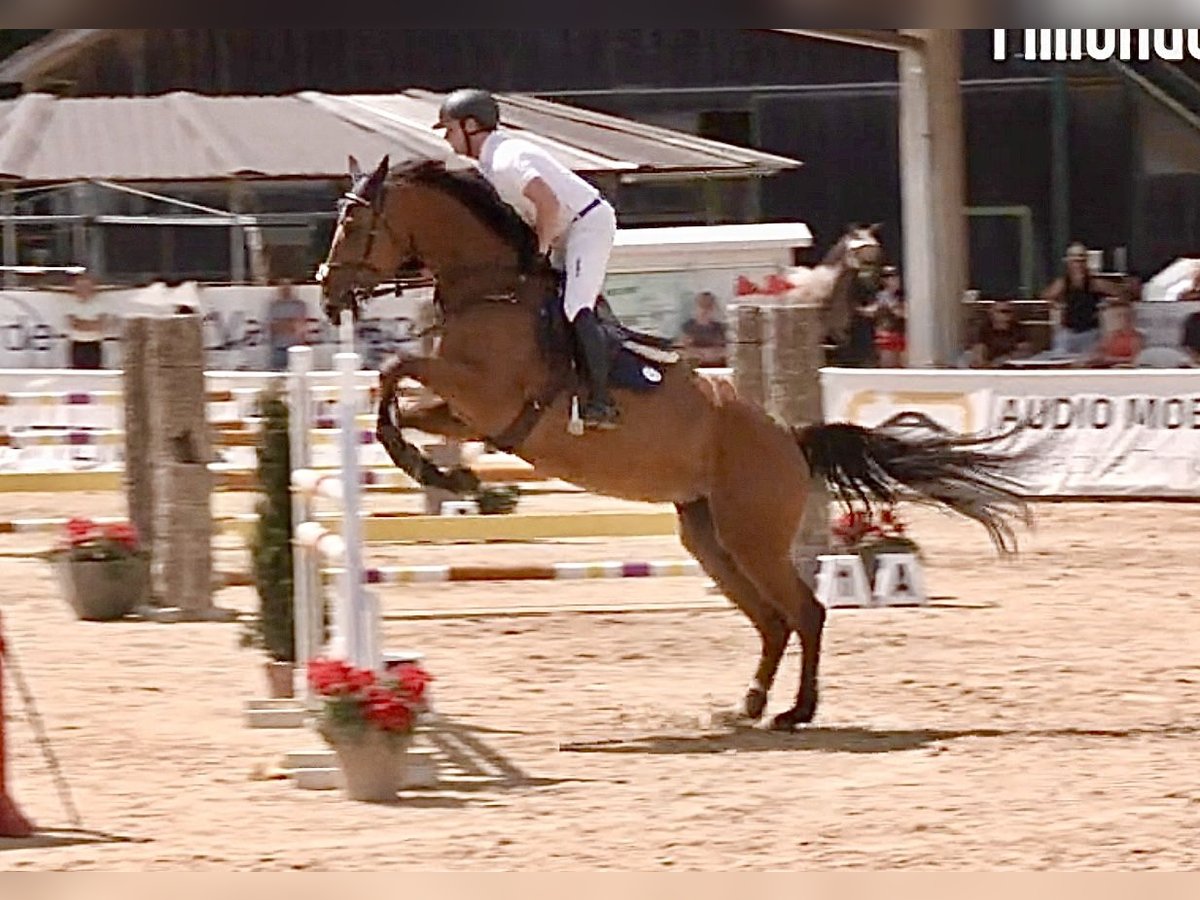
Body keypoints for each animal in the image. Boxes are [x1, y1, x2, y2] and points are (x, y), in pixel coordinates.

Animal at [319, 157, 1032, 734]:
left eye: (354, 221)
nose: (327, 293)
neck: (490, 289)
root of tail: (790, 439)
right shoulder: (470, 415)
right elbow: (399, 396)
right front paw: (455, 480)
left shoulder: (486, 396)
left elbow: (397, 369)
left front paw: (442, 474)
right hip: (709, 537)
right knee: (772, 620)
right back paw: (748, 705)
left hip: (750, 536)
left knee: (806, 613)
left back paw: (796, 712)